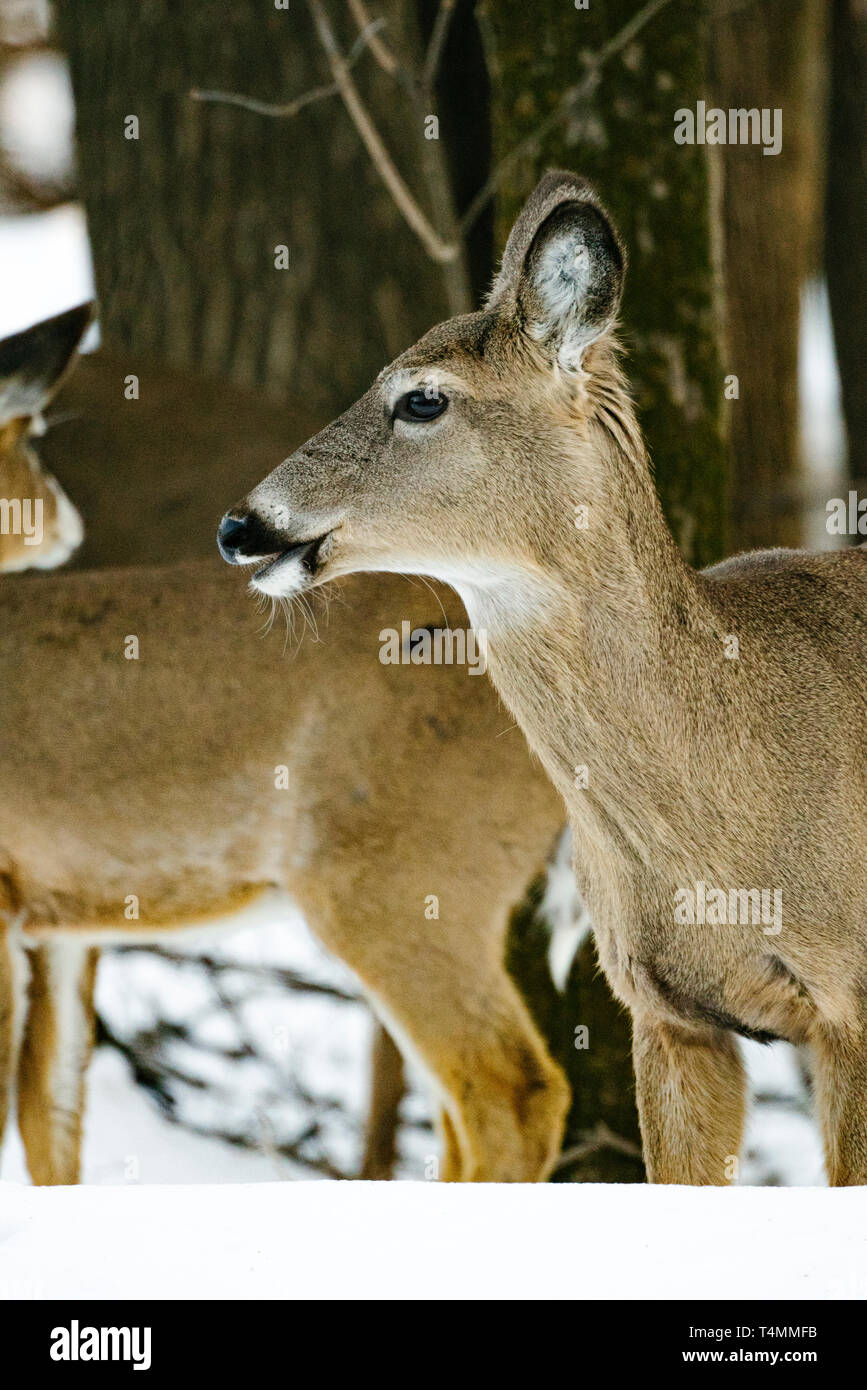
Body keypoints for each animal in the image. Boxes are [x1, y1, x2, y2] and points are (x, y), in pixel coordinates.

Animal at [0, 304, 572, 1184]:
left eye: (31, 435)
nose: (65, 517)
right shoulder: (60, 922)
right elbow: (52, 1114)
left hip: (399, 877)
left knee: (512, 1092)